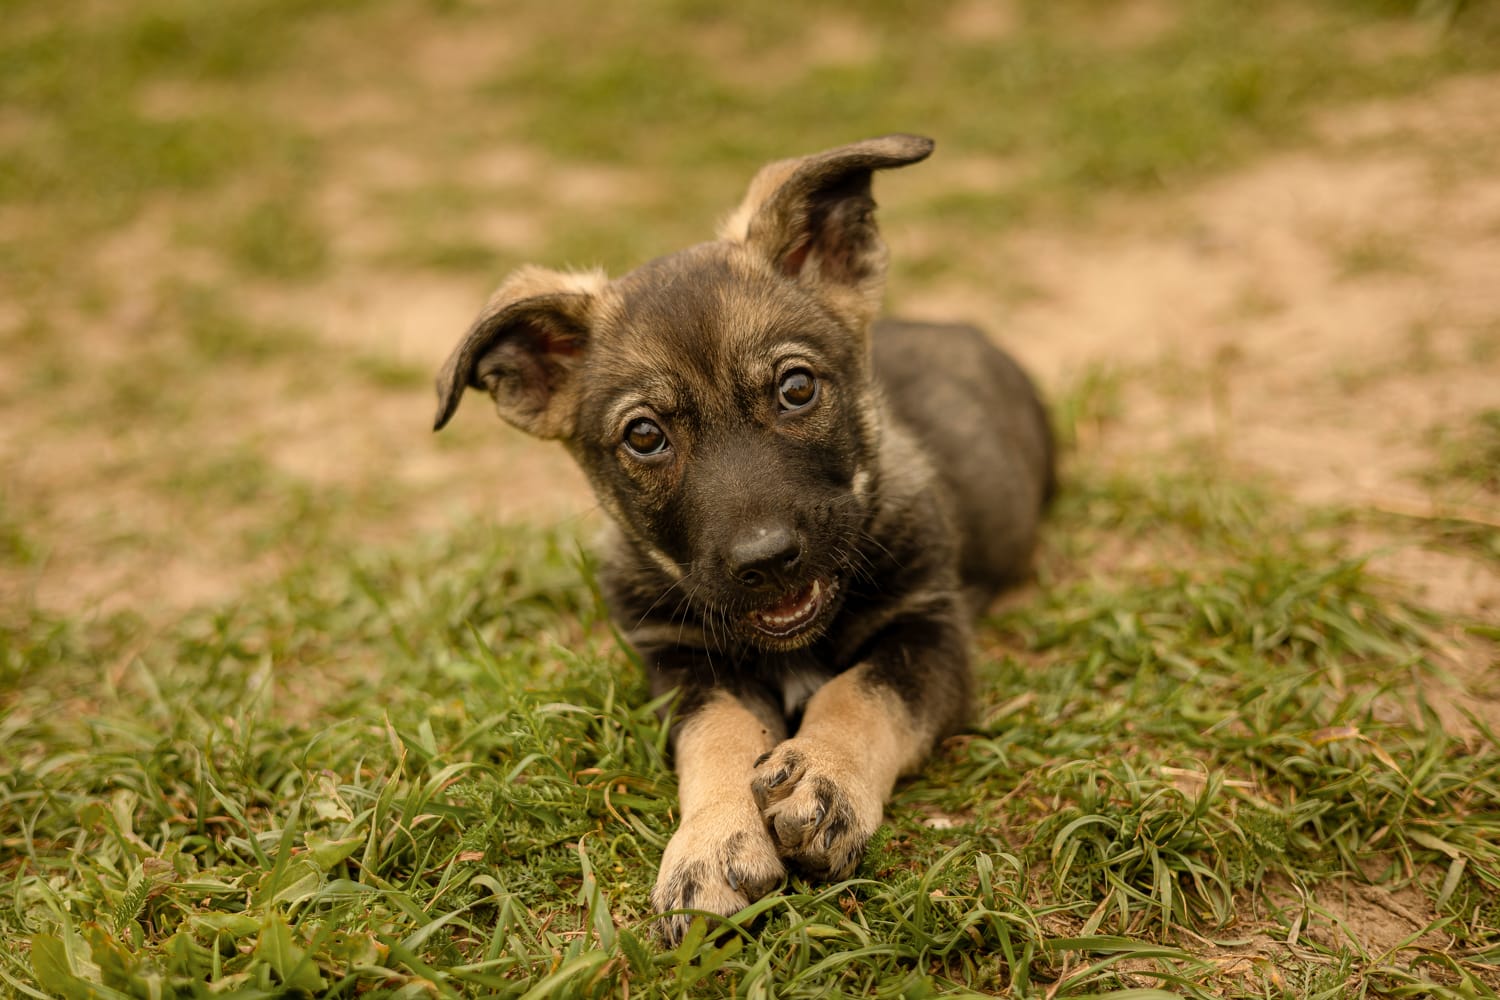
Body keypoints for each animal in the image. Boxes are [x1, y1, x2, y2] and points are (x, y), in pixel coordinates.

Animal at [434, 134, 1054, 942]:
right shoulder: (681, 663)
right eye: (644, 436)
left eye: (796, 388)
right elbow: (722, 735)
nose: (767, 561)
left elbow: (860, 691)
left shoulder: (929, 631)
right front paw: (713, 842)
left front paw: (823, 776)